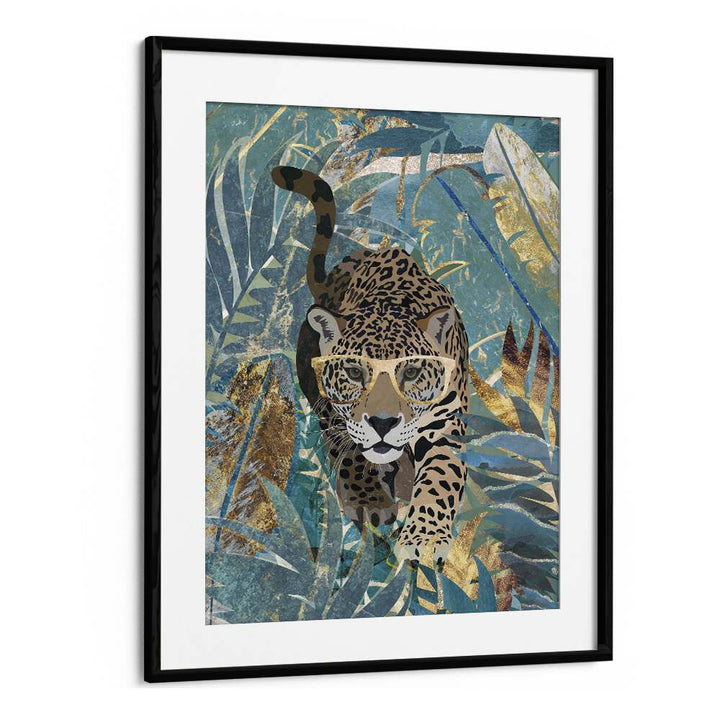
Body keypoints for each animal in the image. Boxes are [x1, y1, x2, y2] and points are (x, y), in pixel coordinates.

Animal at [271, 165, 469, 564]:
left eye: (411, 372)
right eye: (353, 372)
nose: (382, 423)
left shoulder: (445, 426)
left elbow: (441, 477)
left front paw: (424, 538)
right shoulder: (334, 411)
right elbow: (350, 449)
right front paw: (369, 501)